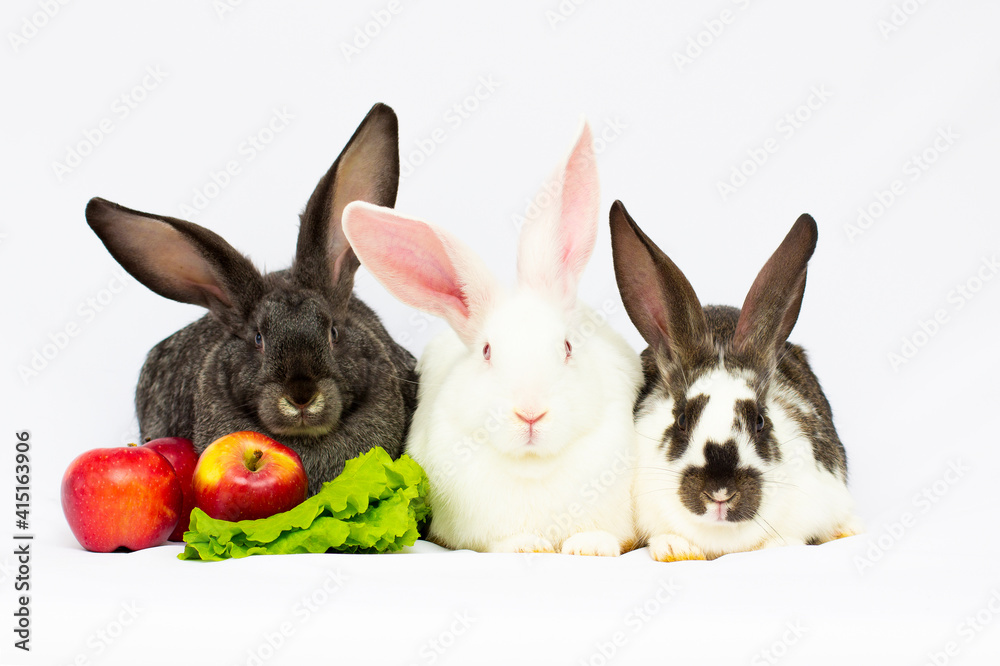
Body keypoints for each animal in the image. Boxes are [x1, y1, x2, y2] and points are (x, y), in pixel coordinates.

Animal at [341, 122, 643, 556]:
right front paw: (527, 547)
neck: (534, 467)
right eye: (486, 352)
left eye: (567, 348)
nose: (530, 413)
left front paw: (589, 547)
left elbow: (604, 535)